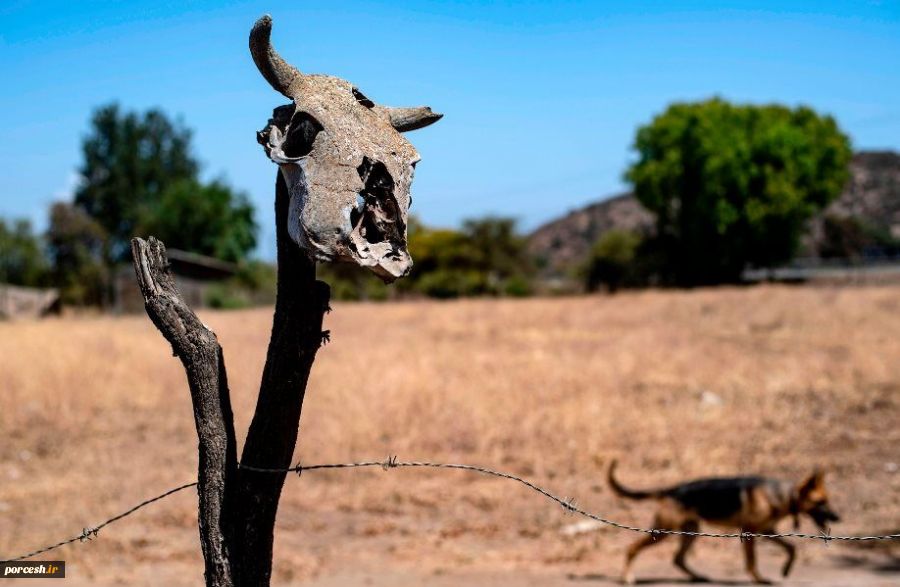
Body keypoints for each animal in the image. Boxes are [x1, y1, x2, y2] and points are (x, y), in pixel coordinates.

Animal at [608, 464, 840, 584]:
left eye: (827, 500)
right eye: (821, 502)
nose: (838, 517)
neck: (782, 496)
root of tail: (672, 490)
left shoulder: (767, 530)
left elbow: (791, 548)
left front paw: (785, 569)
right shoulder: (750, 532)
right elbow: (752, 561)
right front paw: (759, 579)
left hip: (691, 531)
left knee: (678, 559)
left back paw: (698, 577)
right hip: (664, 531)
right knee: (632, 548)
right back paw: (627, 577)